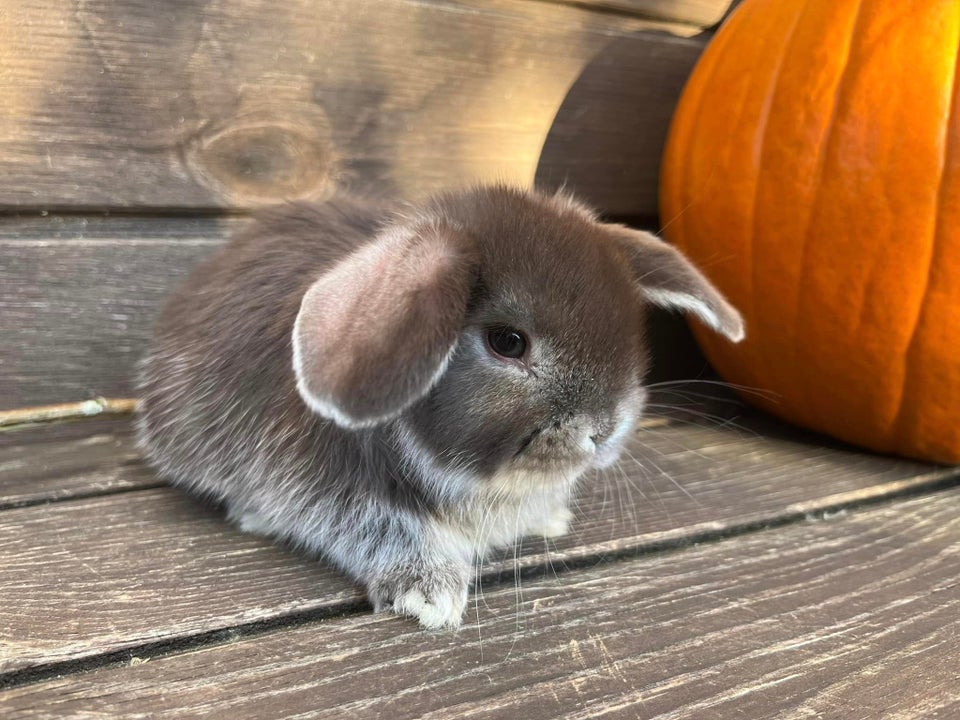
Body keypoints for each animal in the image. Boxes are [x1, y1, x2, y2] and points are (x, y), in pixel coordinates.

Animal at [137, 186, 744, 632]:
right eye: (507, 342)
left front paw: (550, 517)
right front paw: (429, 594)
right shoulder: (323, 484)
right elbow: (382, 526)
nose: (603, 430)